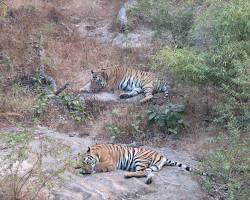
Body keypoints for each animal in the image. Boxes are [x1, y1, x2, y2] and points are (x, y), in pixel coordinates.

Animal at [73, 144, 203, 184]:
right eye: (83, 161)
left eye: (87, 161)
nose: (84, 167)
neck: (97, 151)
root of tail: (164, 156)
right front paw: (76, 165)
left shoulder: (109, 164)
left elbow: (98, 166)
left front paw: (87, 170)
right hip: (152, 167)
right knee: (147, 172)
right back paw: (149, 180)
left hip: (139, 158)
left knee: (141, 171)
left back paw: (127, 175)